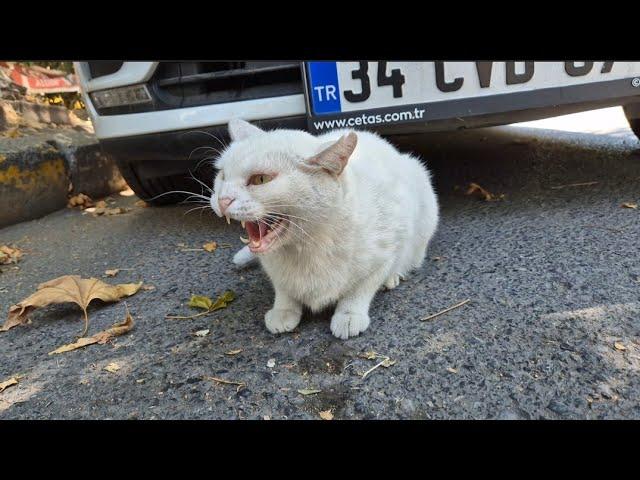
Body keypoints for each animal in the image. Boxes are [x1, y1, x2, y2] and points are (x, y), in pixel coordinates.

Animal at [212, 118, 438, 340]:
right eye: (222, 175)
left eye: (261, 179)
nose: (222, 201)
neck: (307, 246)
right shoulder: (274, 270)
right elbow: (283, 289)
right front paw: (283, 310)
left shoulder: (387, 249)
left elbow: (361, 289)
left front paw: (349, 314)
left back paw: (392, 277)